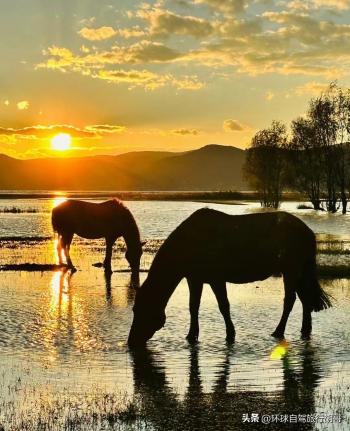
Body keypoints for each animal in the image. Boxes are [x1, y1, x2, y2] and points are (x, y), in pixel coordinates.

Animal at [128, 209, 330, 348]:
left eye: (139, 310)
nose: (131, 341)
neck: (190, 243)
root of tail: (308, 232)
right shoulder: (194, 279)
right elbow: (193, 307)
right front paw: (192, 335)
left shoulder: (216, 279)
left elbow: (223, 306)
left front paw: (230, 334)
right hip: (298, 271)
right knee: (305, 299)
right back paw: (305, 330)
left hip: (290, 270)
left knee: (290, 300)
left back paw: (278, 331)